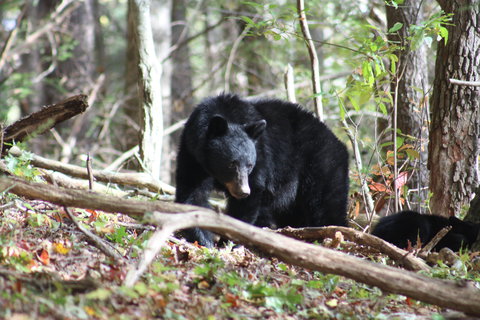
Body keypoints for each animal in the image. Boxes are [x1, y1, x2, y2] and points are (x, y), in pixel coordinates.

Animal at [175, 93, 348, 248]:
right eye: (231, 164)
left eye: (250, 165)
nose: (243, 191)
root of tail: (339, 143)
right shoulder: (192, 154)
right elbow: (191, 192)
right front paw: (204, 240)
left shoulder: (261, 155)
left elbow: (249, 199)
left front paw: (230, 241)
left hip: (322, 165)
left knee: (327, 206)